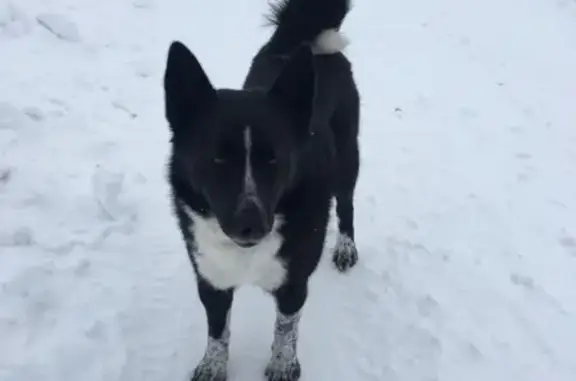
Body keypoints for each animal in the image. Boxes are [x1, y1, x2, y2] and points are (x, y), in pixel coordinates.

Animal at [163, 0, 360, 378]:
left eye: (274, 159)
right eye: (217, 158)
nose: (250, 225)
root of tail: (301, 38)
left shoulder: (293, 283)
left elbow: (286, 328)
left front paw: (283, 365)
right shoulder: (211, 279)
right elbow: (218, 330)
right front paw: (212, 366)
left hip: (347, 159)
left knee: (346, 206)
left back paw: (346, 247)